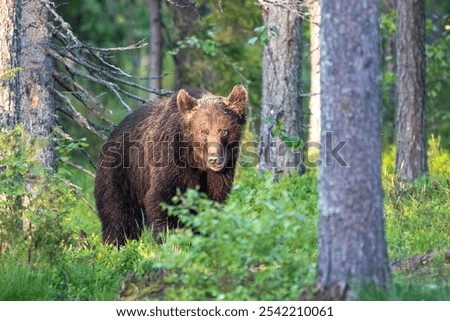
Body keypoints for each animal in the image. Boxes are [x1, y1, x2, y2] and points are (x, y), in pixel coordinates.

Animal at [94, 85, 246, 245]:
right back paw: (116, 244)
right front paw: (170, 240)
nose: (214, 159)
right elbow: (163, 199)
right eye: (203, 131)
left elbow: (212, 202)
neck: (195, 160)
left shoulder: (218, 175)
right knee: (118, 213)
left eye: (223, 130)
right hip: (122, 173)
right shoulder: (170, 161)